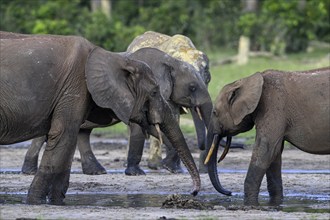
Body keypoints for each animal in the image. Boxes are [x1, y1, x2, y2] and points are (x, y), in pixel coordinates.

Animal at [0, 31, 201, 205]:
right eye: (153, 92)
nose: (193, 192)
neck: (116, 58)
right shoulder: (74, 86)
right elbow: (63, 134)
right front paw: (36, 202)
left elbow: (67, 140)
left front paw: (57, 202)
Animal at [205, 67, 328, 206]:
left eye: (215, 112)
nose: (230, 192)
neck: (245, 80)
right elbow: (275, 153)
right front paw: (275, 203)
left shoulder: (273, 107)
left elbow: (265, 149)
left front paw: (250, 204)